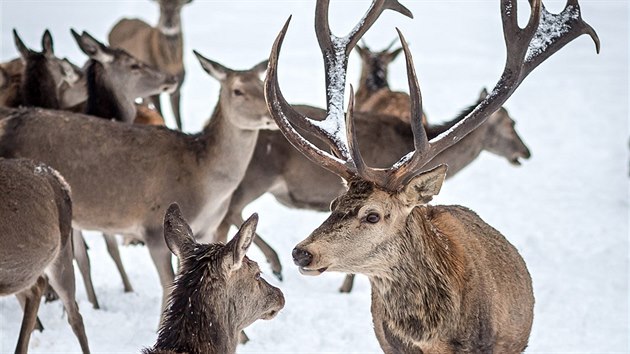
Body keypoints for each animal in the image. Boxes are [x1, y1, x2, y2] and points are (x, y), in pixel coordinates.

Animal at [109, 0, 193, 130]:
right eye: (161, 8)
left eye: (178, 8)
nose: (168, 23)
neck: (169, 65)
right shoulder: (154, 91)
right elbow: (162, 116)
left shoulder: (178, 87)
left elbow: (179, 122)